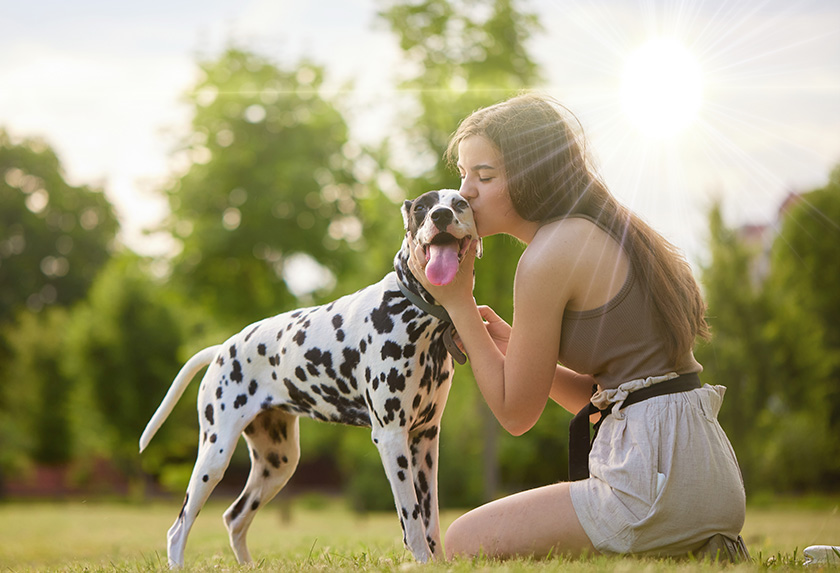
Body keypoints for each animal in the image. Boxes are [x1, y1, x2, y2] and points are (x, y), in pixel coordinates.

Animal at [138, 190, 480, 564]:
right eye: (421, 207)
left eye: (460, 203)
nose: (441, 215)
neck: (414, 311)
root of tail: (222, 348)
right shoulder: (392, 437)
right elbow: (413, 517)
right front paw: (422, 561)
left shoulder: (426, 439)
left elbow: (430, 516)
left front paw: (438, 562)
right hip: (214, 456)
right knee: (179, 527)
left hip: (278, 463)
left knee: (234, 517)